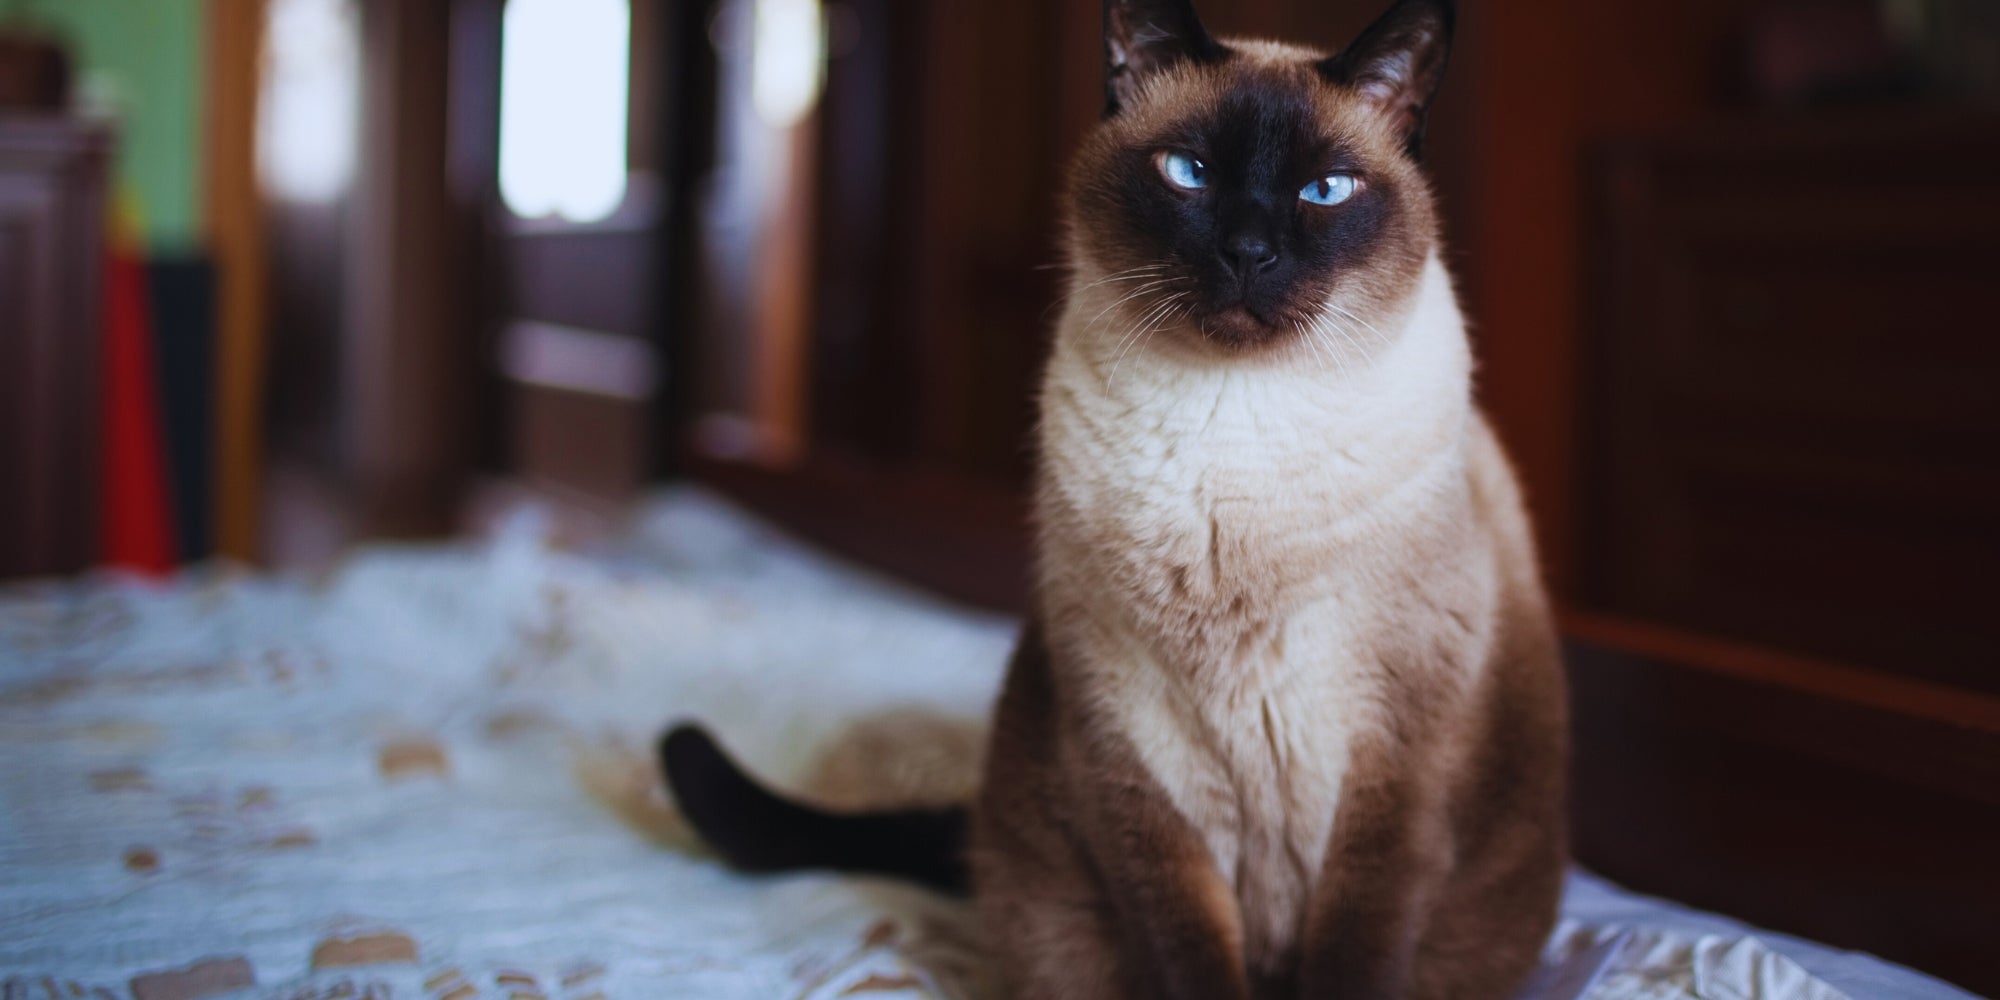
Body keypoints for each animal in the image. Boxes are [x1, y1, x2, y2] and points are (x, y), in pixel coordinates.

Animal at [664, 0, 1568, 996]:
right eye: (1189, 174)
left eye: (1325, 191)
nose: (1248, 252)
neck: (1234, 442)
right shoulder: (1132, 748)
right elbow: (1189, 954)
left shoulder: (1394, 775)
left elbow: (1357, 953)